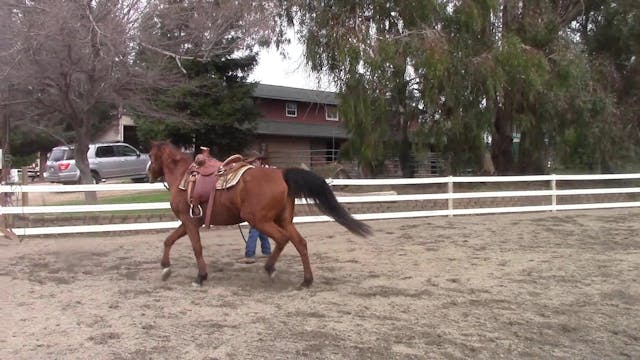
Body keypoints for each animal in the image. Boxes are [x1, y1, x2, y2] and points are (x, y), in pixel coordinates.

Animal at [148, 141, 372, 286]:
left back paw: (270, 268)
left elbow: (196, 247)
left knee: (282, 239)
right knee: (300, 243)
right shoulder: (189, 222)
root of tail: (281, 173)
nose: (149, 172)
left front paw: (200, 276)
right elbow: (169, 240)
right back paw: (306, 281)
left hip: (259, 220)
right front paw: (166, 268)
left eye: (150, 155)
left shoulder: (188, 220)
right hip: (283, 220)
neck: (185, 177)